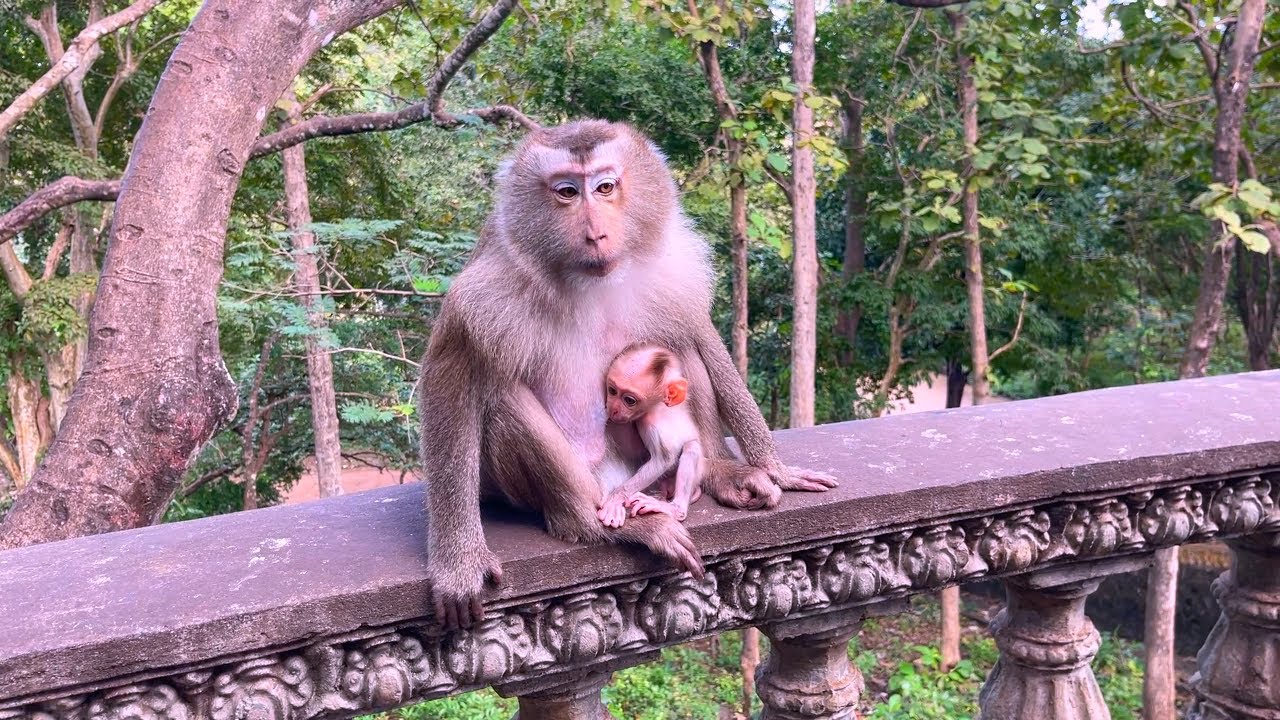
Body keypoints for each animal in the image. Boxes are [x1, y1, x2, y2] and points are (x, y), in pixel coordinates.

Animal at [597, 344, 706, 528]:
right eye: (612, 391)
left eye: (629, 400)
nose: (613, 409)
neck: (657, 407)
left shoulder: (651, 424)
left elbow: (663, 459)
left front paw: (616, 498)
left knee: (691, 447)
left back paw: (675, 509)